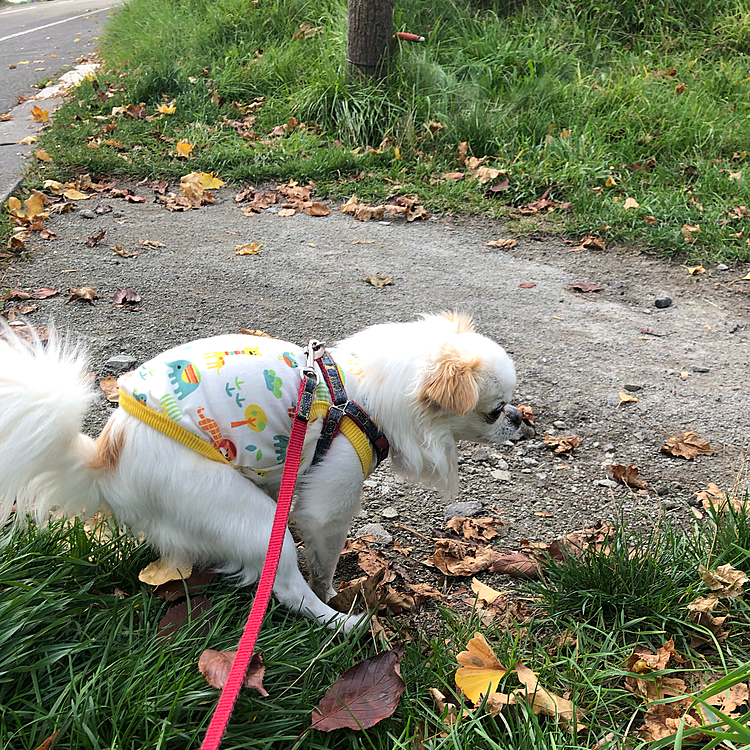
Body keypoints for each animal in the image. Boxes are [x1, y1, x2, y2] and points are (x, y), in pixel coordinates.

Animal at [0, 312, 524, 636]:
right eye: (494, 412)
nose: (523, 419)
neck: (357, 395)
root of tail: (106, 458)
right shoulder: (329, 502)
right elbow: (323, 556)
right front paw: (332, 591)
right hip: (243, 512)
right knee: (286, 587)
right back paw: (342, 625)